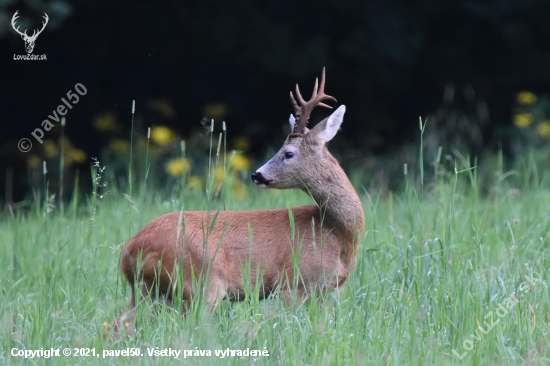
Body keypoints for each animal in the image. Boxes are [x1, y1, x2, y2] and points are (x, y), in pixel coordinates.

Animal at [112, 68, 364, 338]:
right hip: (201, 282)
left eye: (288, 153)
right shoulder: (291, 282)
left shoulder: (331, 290)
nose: (257, 175)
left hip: (148, 290)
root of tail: (130, 249)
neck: (337, 232)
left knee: (118, 326)